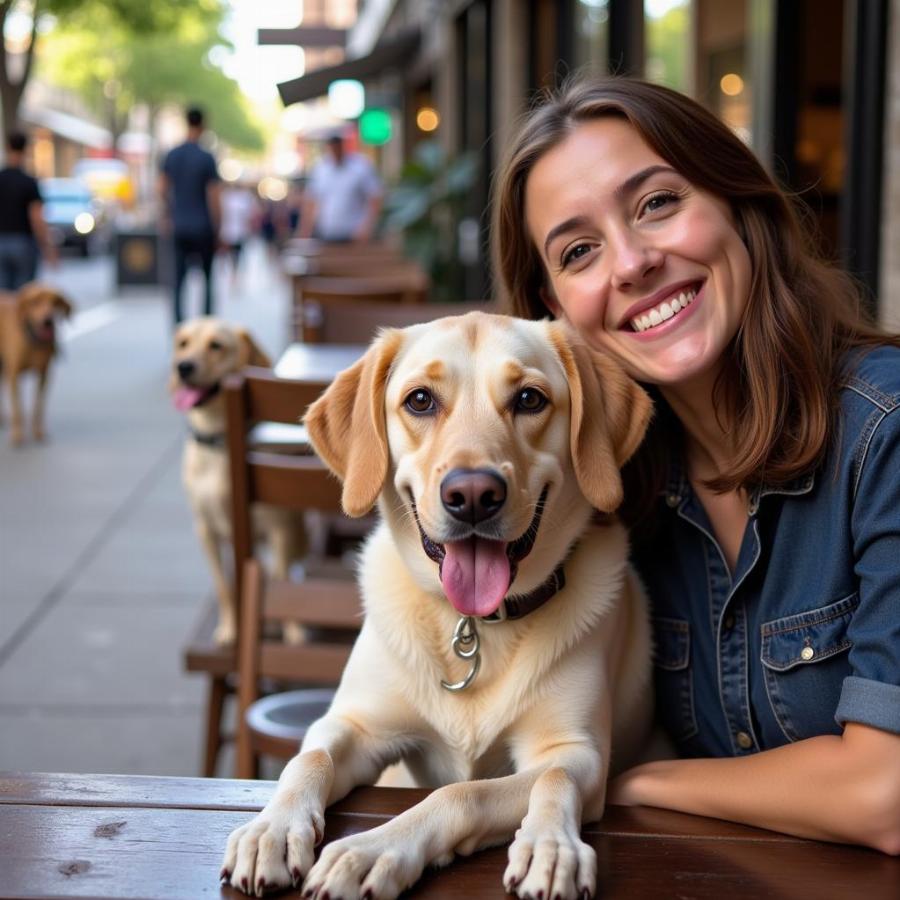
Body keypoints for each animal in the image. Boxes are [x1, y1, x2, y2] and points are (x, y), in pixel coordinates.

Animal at [0, 284, 73, 444]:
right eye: (34, 302)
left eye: (55, 301)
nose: (48, 320)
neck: (34, 340)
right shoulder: (14, 375)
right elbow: (18, 408)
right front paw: (17, 435)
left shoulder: (44, 375)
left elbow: (38, 406)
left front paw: (38, 432)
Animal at [171, 320, 308, 644]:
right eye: (183, 343)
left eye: (216, 346)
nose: (183, 366)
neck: (220, 440)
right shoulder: (206, 531)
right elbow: (225, 587)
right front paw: (231, 629)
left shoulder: (279, 528)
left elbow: (284, 582)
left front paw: (293, 630)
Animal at [221, 314, 652, 900]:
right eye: (420, 400)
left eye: (530, 398)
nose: (472, 495)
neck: (473, 625)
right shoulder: (357, 725)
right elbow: (309, 755)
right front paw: (272, 828)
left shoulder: (578, 752)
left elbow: (493, 787)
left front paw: (373, 850)